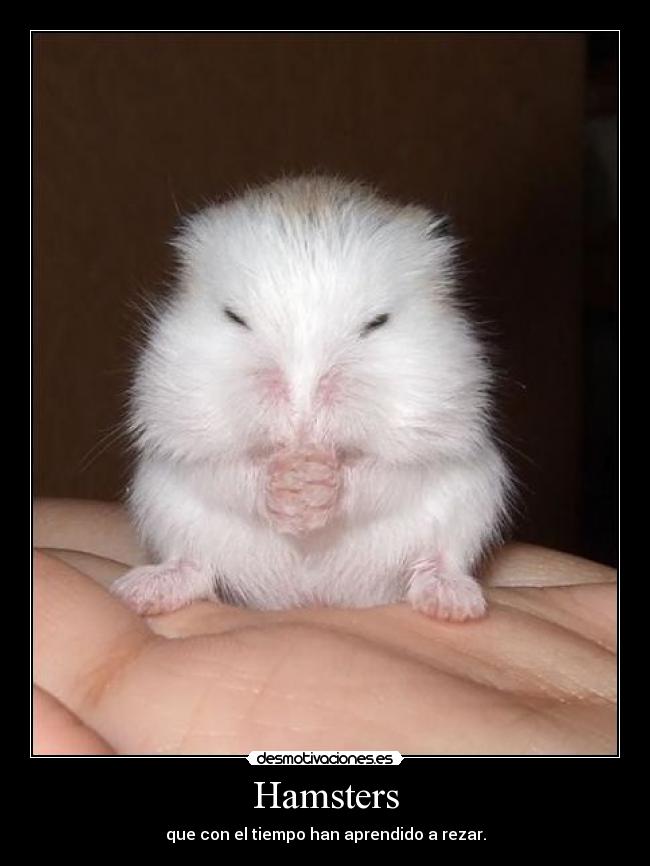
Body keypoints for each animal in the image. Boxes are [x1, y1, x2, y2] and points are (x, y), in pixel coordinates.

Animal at [112, 175, 511, 621]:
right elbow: (226, 469)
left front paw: (315, 483)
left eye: (377, 322)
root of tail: (311, 594)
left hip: (475, 499)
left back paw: (451, 601)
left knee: (439, 559)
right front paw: (292, 484)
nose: (302, 414)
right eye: (234, 317)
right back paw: (141, 591)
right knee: (195, 566)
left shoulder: (431, 436)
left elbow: (384, 473)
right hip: (163, 507)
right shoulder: (183, 434)